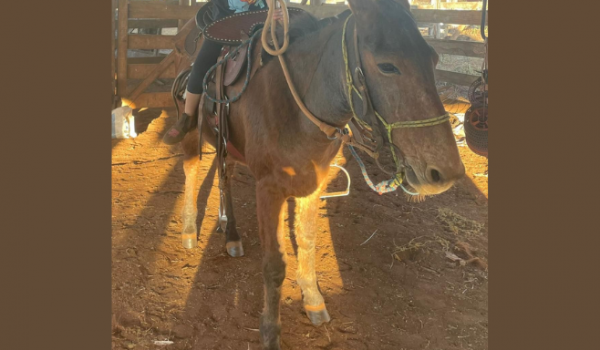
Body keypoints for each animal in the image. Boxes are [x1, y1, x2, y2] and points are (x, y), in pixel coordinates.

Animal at [177, 1, 464, 348]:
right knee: (191, 169)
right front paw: (270, 331)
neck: (295, 107)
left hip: (228, 144)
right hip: (192, 133)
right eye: (387, 66)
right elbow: (274, 265)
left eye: (433, 58)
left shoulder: (313, 183)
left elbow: (307, 240)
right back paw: (190, 229)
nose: (445, 173)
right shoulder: (268, 189)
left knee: (225, 174)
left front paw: (312, 298)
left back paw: (230, 231)